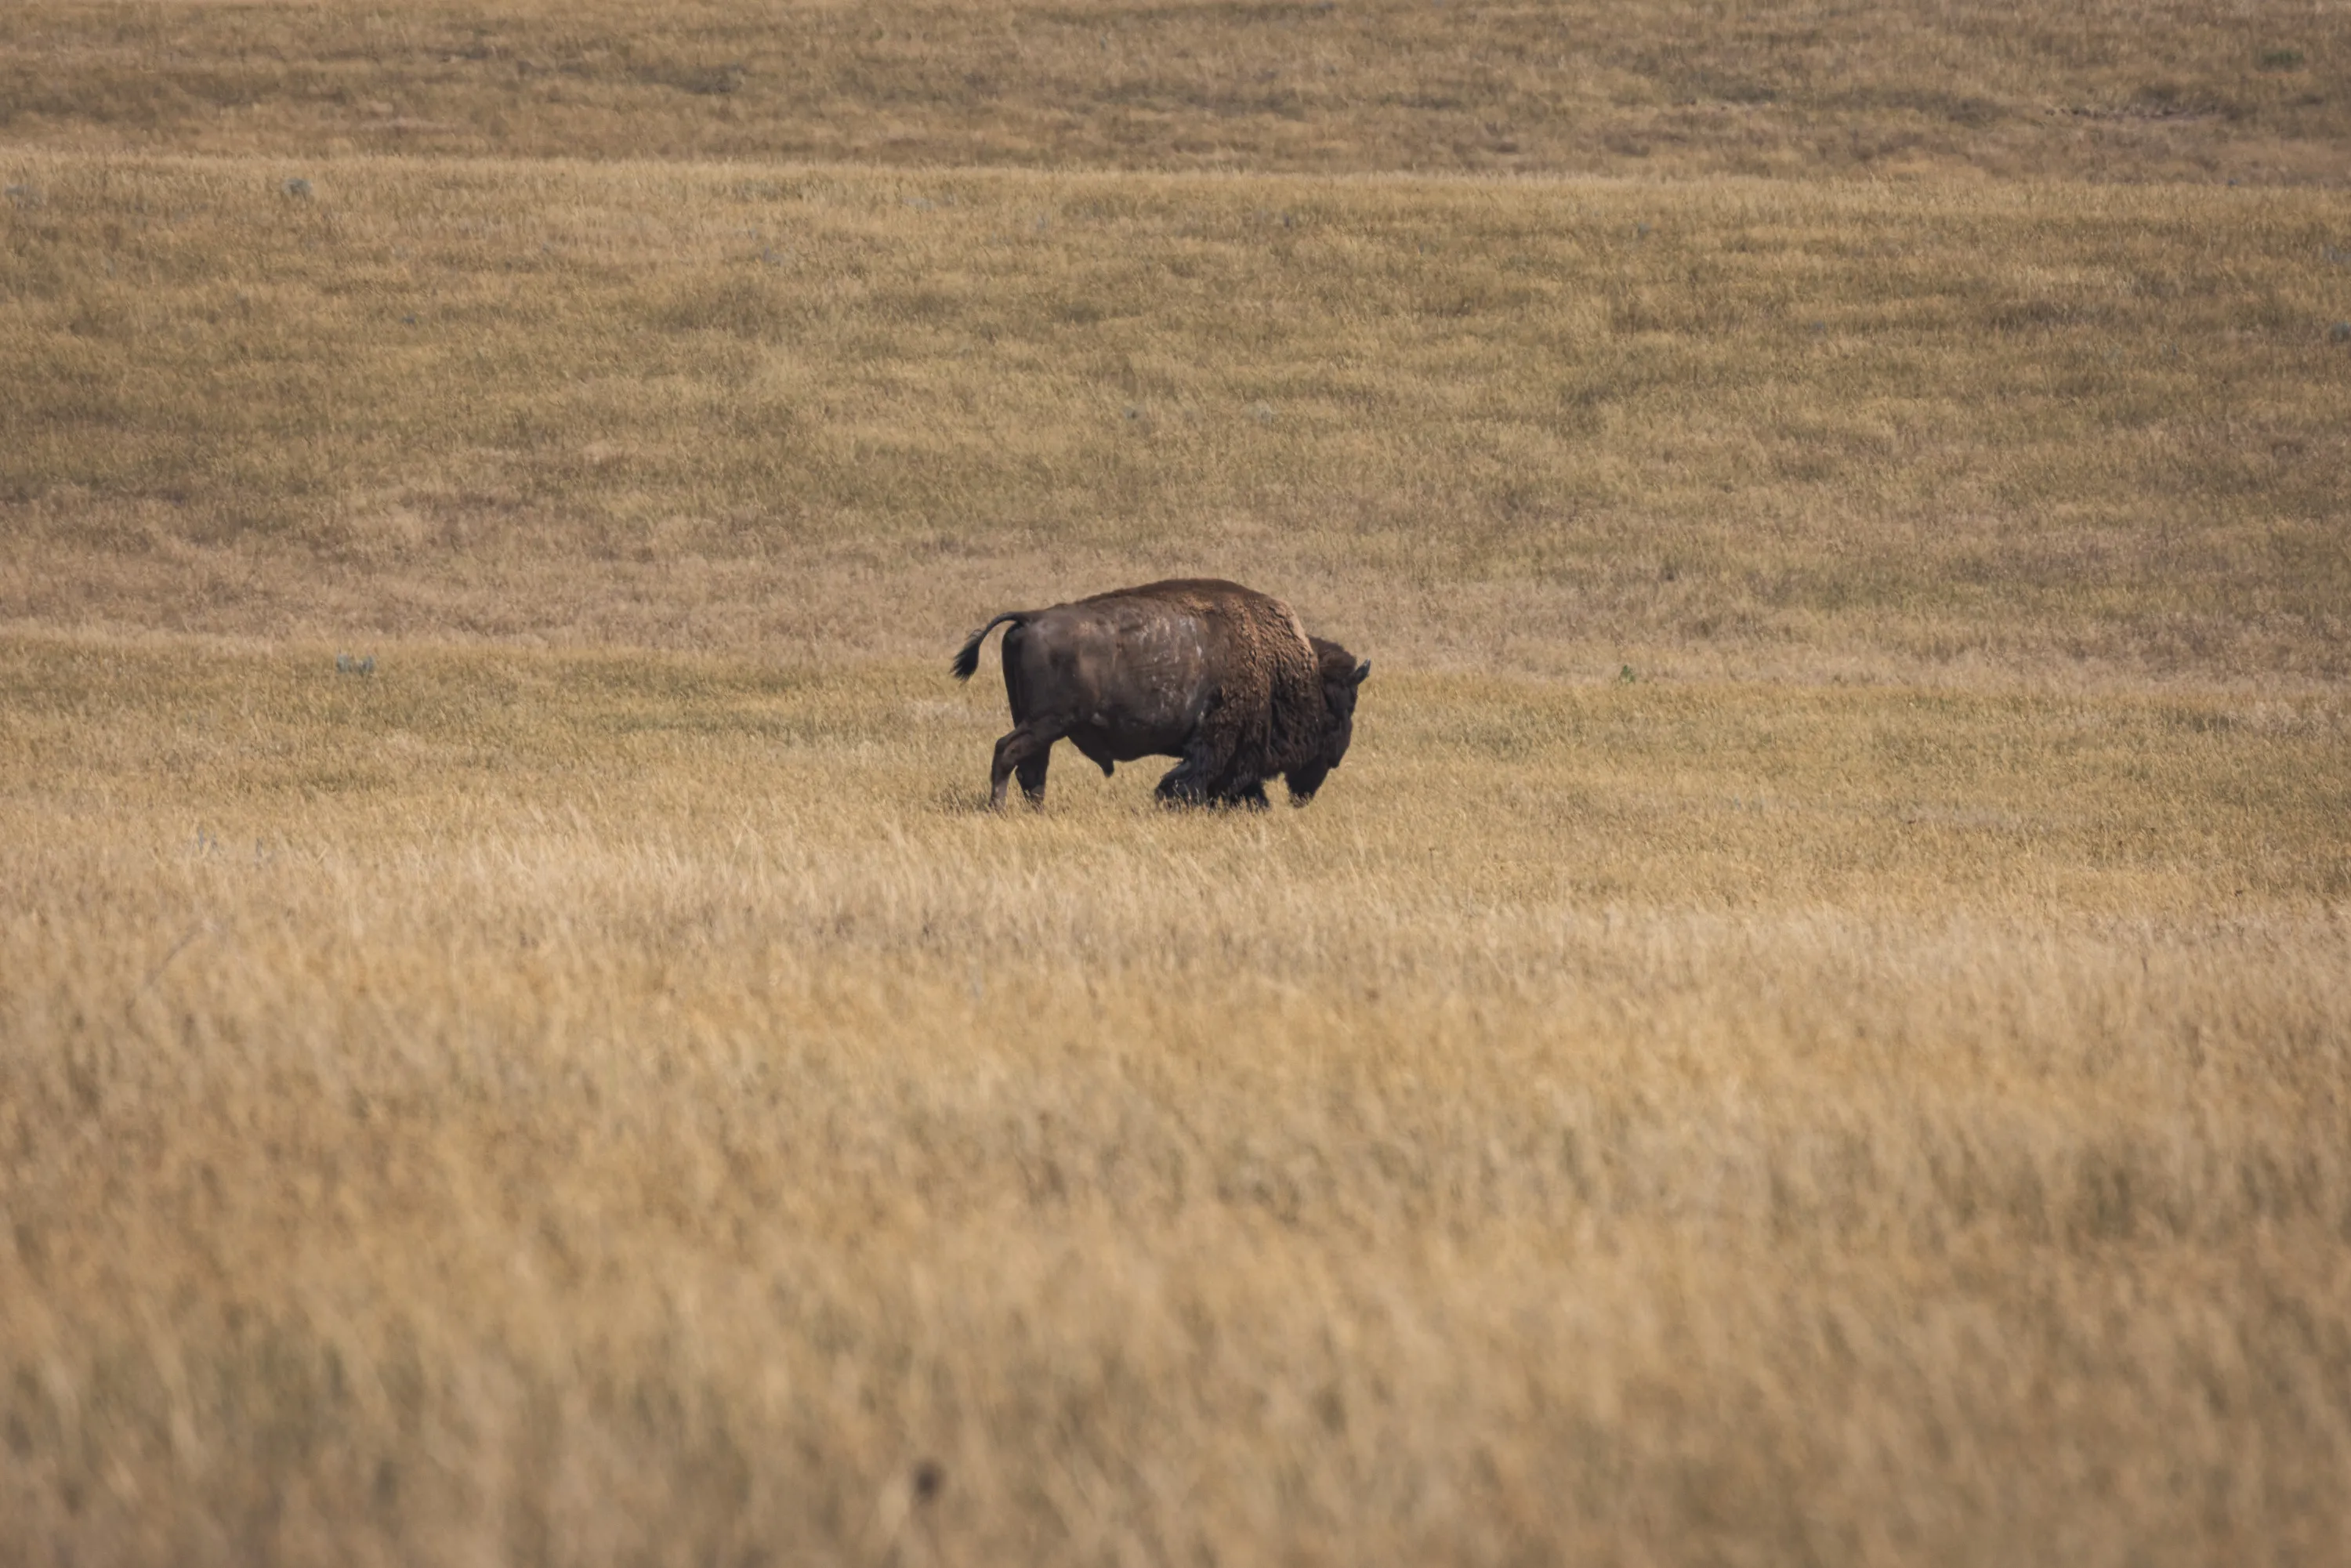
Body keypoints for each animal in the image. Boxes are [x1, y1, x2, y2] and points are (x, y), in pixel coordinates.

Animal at [951, 578, 1369, 809]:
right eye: (1344, 707)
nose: (1335, 759)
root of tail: (1031, 617)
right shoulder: (1218, 742)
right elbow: (1195, 779)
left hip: (1039, 724)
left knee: (1032, 769)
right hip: (1046, 722)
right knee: (1007, 752)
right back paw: (997, 808)